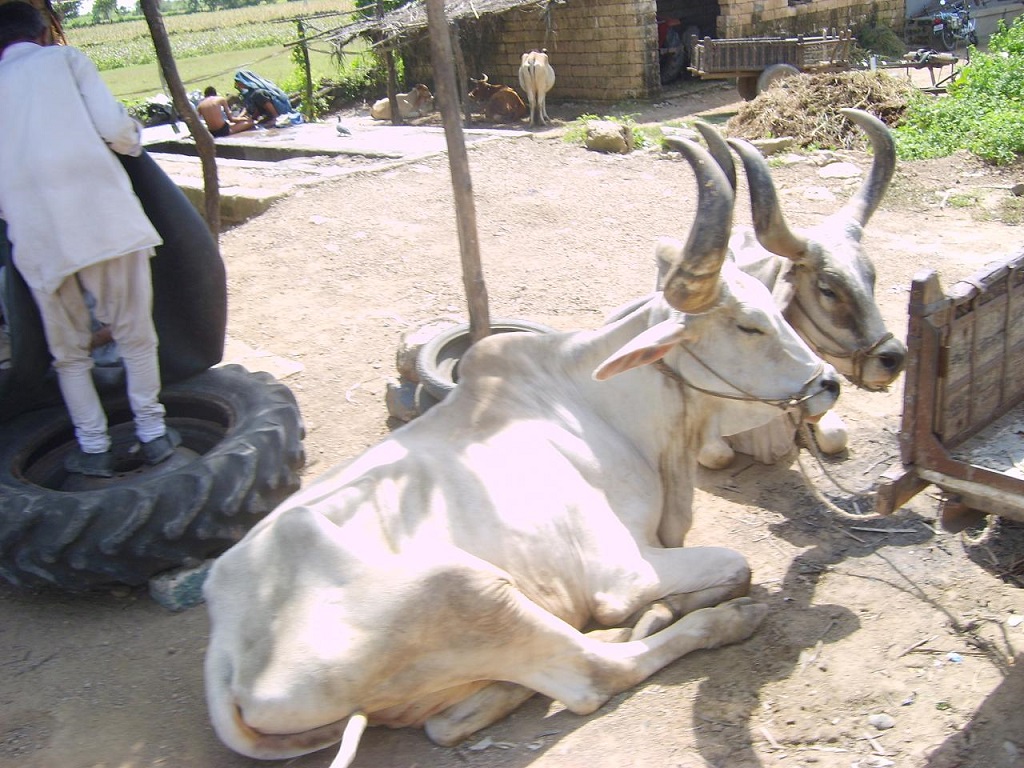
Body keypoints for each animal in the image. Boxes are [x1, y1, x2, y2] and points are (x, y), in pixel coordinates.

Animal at [203, 138, 841, 768]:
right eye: (747, 326)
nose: (829, 384)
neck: (604, 407)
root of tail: (225, 656)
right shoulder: (626, 569)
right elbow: (735, 569)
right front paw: (660, 610)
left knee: (450, 720)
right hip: (466, 587)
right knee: (591, 675)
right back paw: (699, 623)